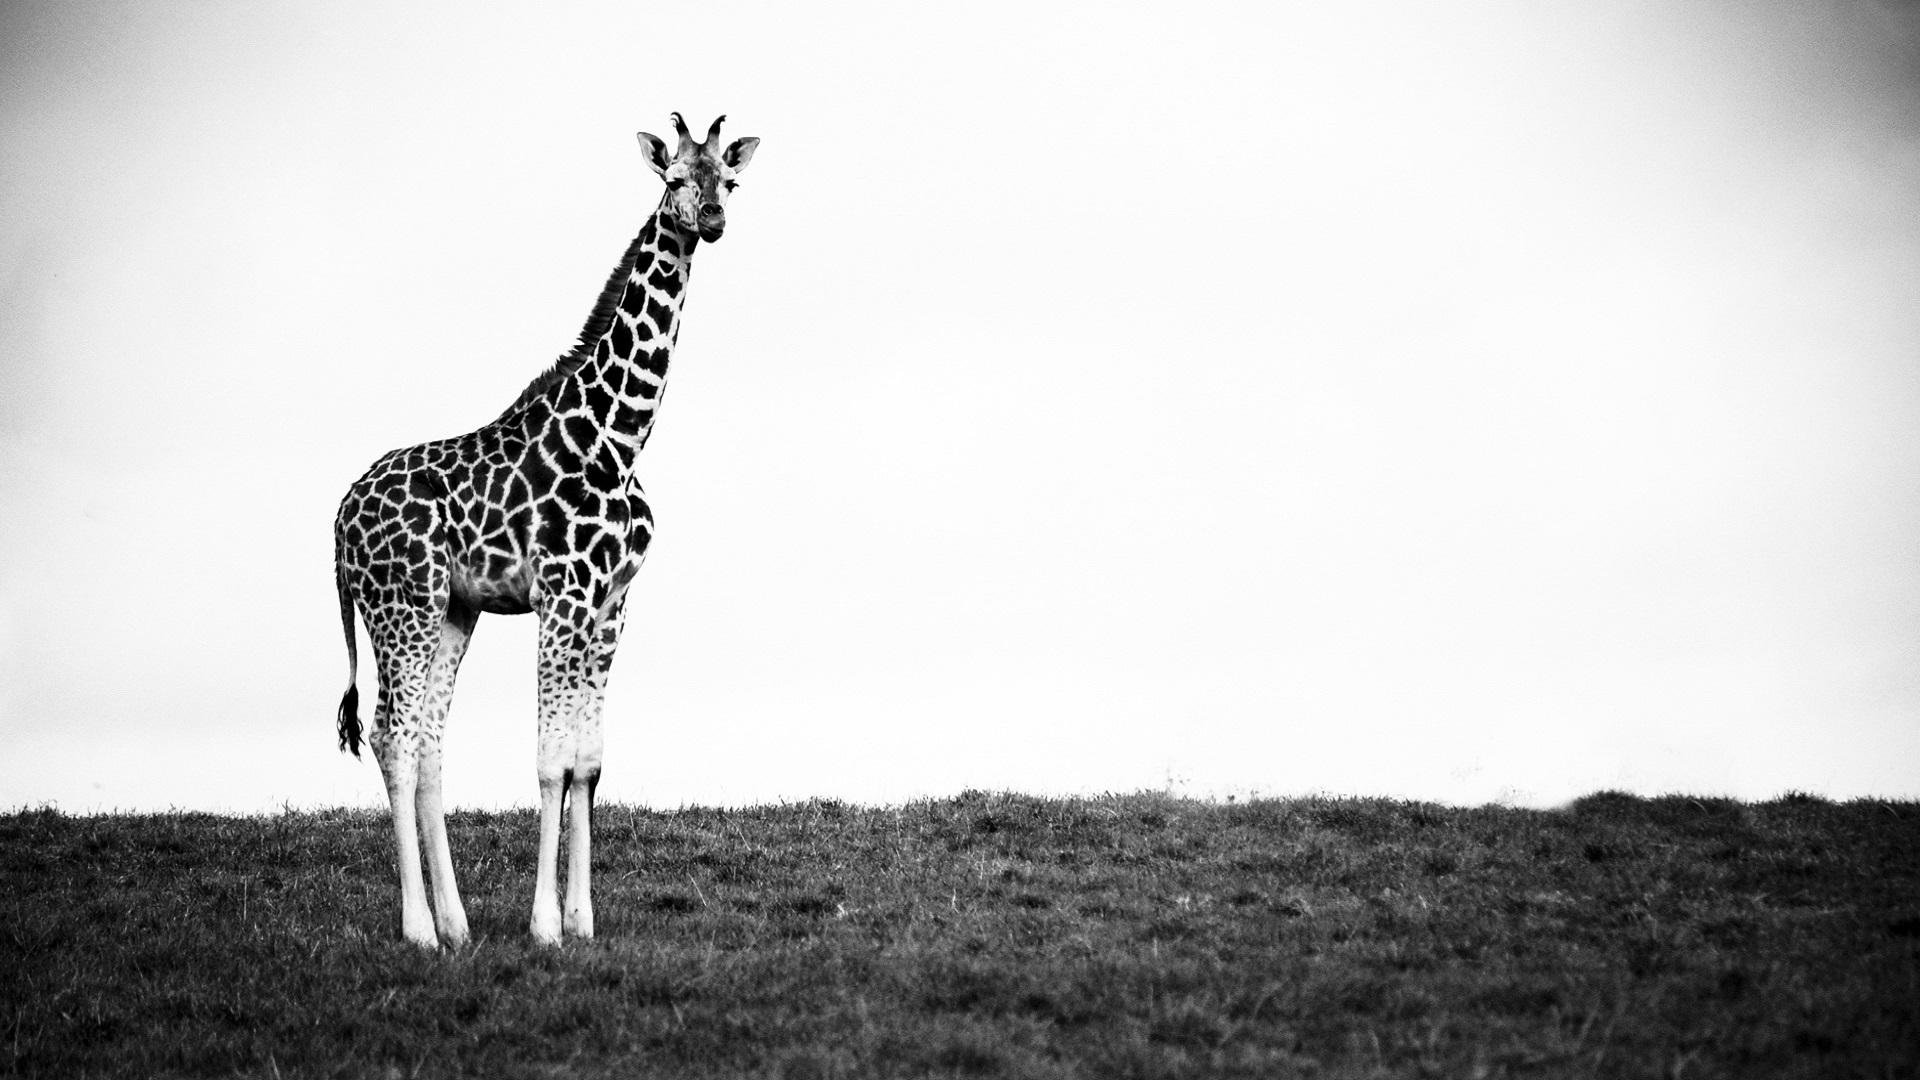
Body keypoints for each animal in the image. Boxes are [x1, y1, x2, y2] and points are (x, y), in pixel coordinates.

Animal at [332, 113, 758, 948]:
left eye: (729, 179)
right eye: (673, 179)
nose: (713, 222)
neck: (618, 437)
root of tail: (337, 522)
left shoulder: (612, 602)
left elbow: (587, 762)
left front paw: (582, 921)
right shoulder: (563, 595)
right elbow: (549, 760)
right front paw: (544, 926)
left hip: (451, 611)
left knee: (428, 743)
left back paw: (457, 926)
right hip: (401, 604)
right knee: (393, 737)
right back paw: (419, 930)